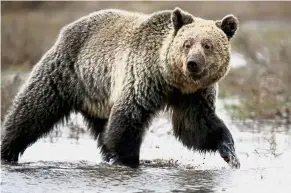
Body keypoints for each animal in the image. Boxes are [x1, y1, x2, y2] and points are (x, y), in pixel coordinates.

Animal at [1, 7, 241, 167]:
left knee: (102, 129)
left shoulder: (193, 96)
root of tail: (68, 28)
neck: (172, 80)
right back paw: (7, 150)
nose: (192, 63)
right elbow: (129, 117)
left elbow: (197, 126)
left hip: (98, 94)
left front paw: (230, 153)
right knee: (32, 110)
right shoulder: (144, 78)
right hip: (67, 72)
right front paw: (128, 160)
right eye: (187, 43)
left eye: (208, 45)